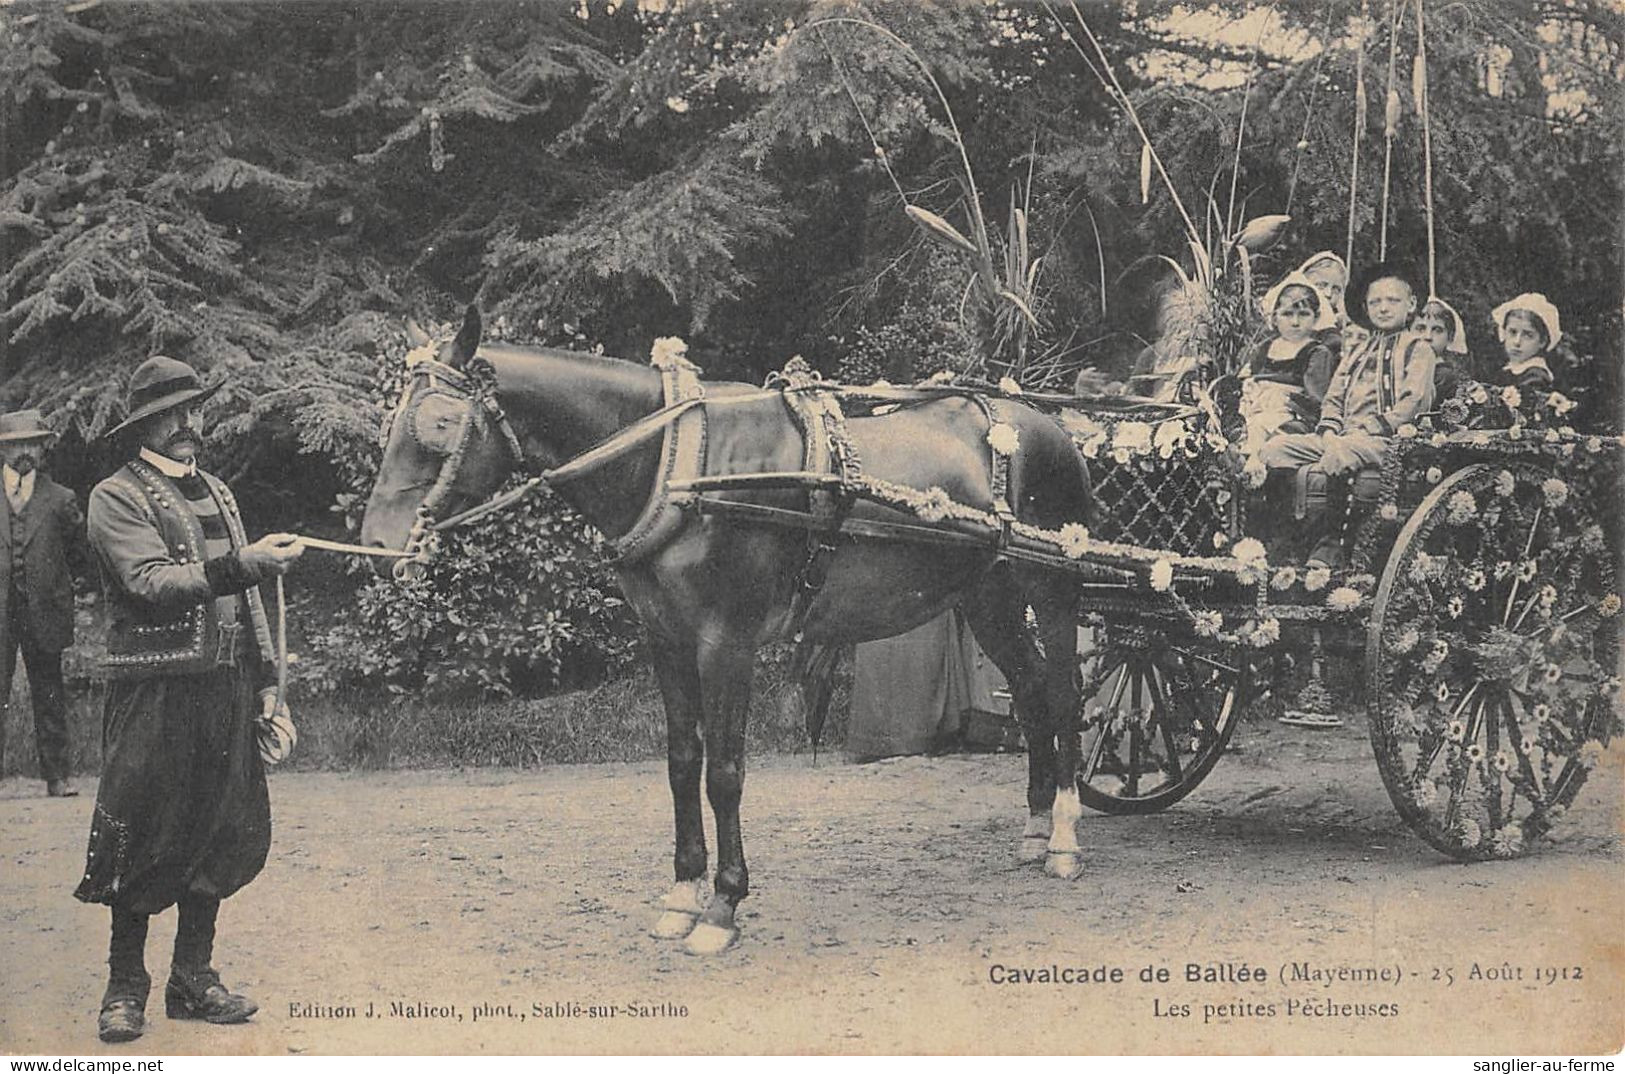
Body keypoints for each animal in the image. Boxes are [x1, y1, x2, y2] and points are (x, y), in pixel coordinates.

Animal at [362, 305, 1098, 948]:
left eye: (437, 423)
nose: (375, 544)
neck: (682, 462)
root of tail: (1041, 422)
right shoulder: (666, 638)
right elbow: (682, 763)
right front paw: (682, 896)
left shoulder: (727, 640)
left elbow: (724, 772)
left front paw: (723, 905)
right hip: (987, 597)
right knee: (1029, 691)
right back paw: (1035, 826)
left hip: (1054, 588)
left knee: (1063, 696)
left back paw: (1064, 836)